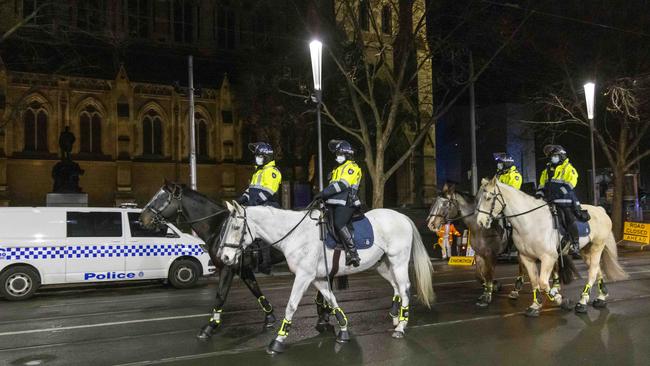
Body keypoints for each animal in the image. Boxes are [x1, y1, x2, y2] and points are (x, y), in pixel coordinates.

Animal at [139, 182, 284, 338]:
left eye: (162, 197)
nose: (141, 219)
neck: (218, 228)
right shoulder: (243, 269)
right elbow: (255, 290)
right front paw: (270, 317)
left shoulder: (228, 268)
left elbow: (220, 295)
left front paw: (210, 326)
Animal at [218, 202, 436, 354]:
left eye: (236, 227)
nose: (224, 257)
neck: (295, 235)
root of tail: (402, 217)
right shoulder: (318, 278)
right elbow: (331, 300)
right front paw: (344, 330)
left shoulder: (304, 276)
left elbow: (291, 305)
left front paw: (278, 341)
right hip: (383, 265)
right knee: (397, 287)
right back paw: (395, 317)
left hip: (398, 262)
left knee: (405, 289)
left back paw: (401, 326)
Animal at [470, 176, 628, 316]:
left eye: (488, 198)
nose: (480, 222)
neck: (529, 222)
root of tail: (601, 210)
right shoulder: (527, 258)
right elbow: (535, 282)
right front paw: (535, 306)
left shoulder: (549, 258)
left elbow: (543, 282)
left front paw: (561, 301)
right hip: (586, 250)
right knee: (597, 270)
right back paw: (601, 297)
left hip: (597, 247)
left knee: (593, 271)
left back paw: (582, 302)